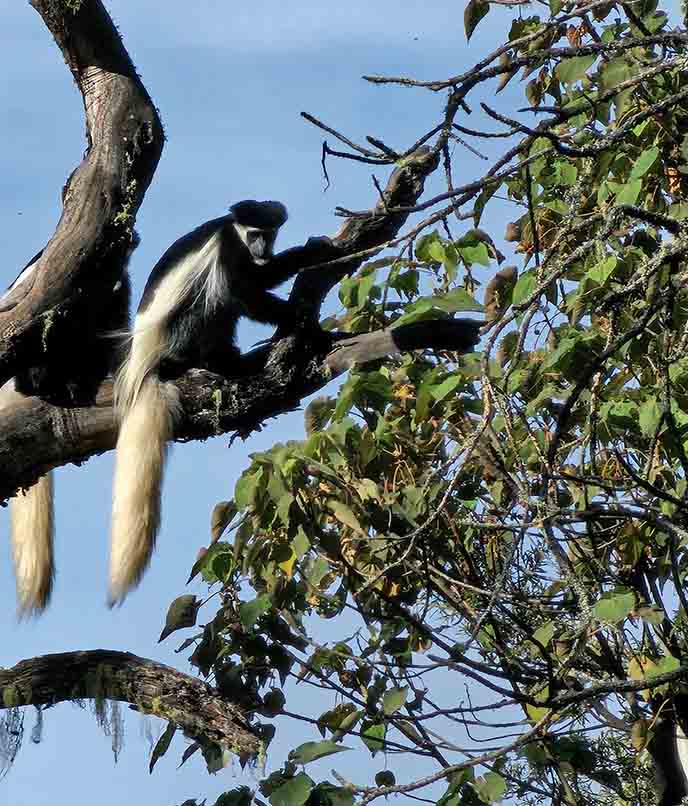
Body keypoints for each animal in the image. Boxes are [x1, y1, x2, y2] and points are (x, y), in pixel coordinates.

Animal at [110, 200, 318, 608]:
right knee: (213, 301)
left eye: (269, 235)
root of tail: (145, 366)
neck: (235, 233)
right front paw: (293, 314)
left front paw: (309, 252)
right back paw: (218, 363)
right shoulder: (228, 253)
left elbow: (262, 279)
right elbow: (247, 294)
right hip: (181, 329)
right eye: (254, 234)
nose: (262, 249)